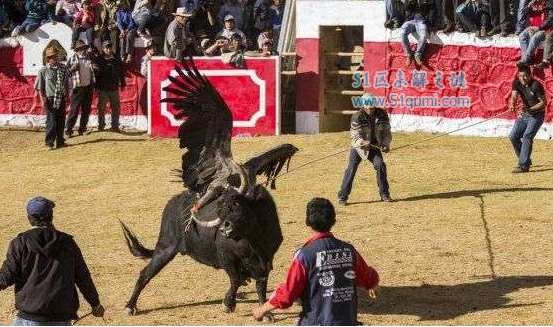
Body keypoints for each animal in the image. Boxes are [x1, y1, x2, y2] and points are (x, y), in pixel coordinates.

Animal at [121, 186, 284, 316]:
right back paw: (130, 307)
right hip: (165, 248)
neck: (256, 243)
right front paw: (227, 304)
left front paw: (266, 314)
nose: (224, 229)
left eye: (241, 208)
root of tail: (173, 202)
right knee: (145, 274)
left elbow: (261, 286)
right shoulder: (226, 257)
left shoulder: (266, 261)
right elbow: (236, 279)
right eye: (222, 212)